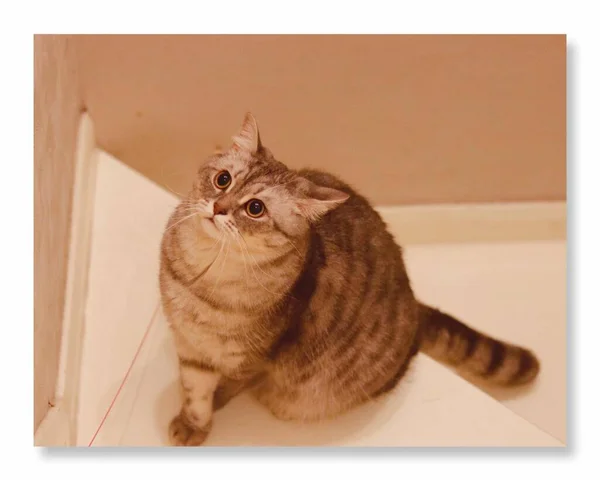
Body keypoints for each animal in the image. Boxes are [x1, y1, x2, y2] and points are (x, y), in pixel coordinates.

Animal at [158, 113, 540, 446]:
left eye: (255, 208)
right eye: (223, 179)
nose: (218, 208)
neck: (201, 280)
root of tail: (414, 305)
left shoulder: (248, 362)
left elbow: (216, 392)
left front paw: (200, 422)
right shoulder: (189, 345)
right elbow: (195, 391)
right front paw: (190, 419)